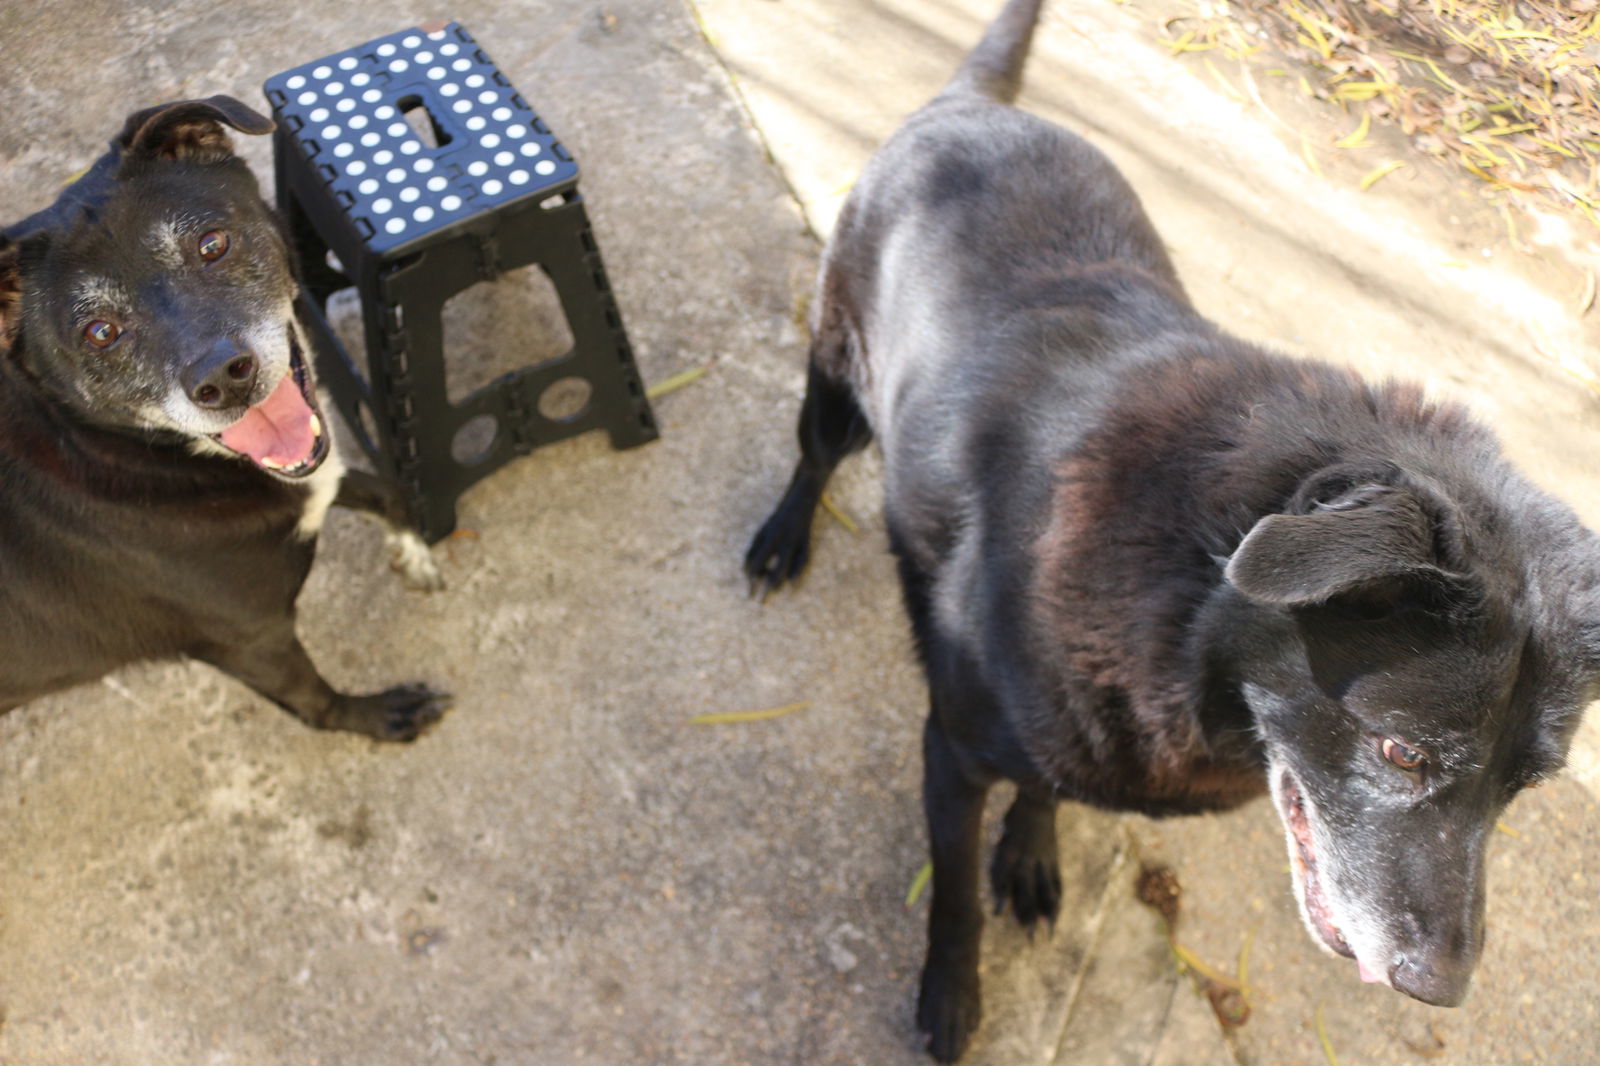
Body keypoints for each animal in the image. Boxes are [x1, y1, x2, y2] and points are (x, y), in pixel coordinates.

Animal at [1, 97, 451, 739]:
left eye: (212, 244)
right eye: (100, 332)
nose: (223, 379)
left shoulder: (311, 481)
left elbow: (385, 489)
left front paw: (413, 554)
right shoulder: (250, 636)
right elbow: (316, 706)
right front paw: (381, 717)